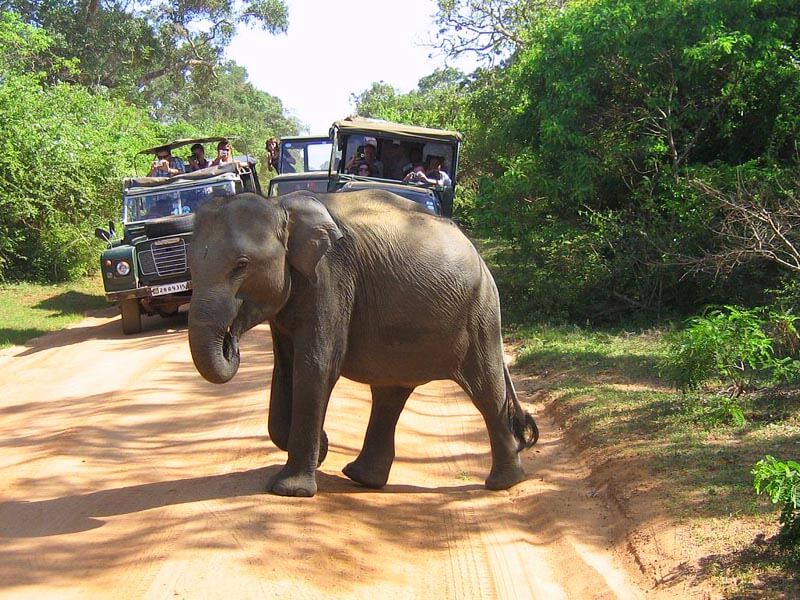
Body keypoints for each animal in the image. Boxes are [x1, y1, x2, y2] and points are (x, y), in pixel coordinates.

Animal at [187, 192, 536, 496]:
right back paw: (362, 478)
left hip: (480, 314)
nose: (231, 342)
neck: (280, 207)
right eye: (189, 268)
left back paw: (502, 484)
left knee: (486, 391)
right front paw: (320, 448)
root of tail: (480, 258)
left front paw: (291, 490)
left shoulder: (330, 278)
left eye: (241, 265)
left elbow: (315, 367)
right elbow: (285, 370)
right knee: (390, 395)